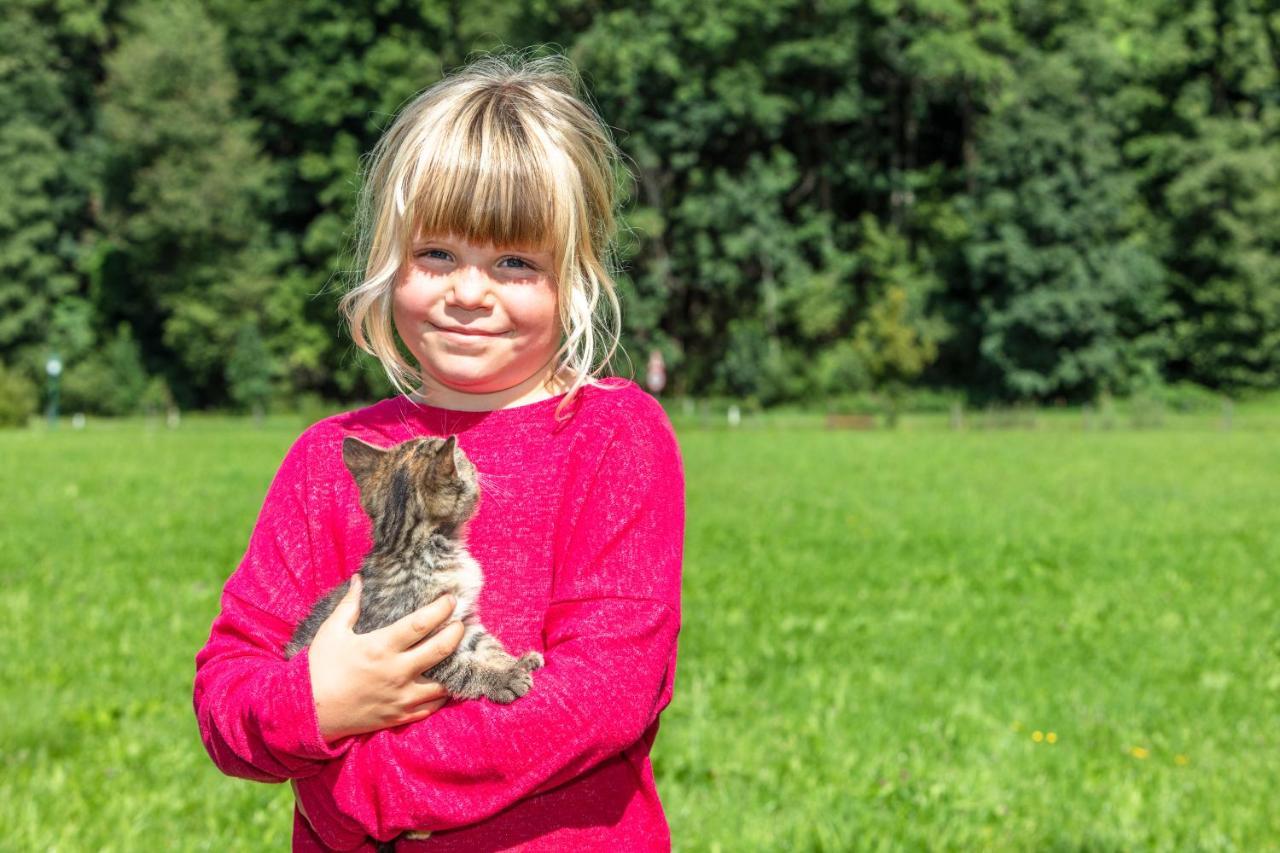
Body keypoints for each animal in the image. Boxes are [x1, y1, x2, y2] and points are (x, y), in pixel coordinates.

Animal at [288, 435, 542, 701]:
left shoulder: (465, 620)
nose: (475, 465)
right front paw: (501, 679)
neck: (410, 547)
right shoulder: (416, 646)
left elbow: (486, 644)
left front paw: (515, 662)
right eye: (463, 458)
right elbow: (461, 669)